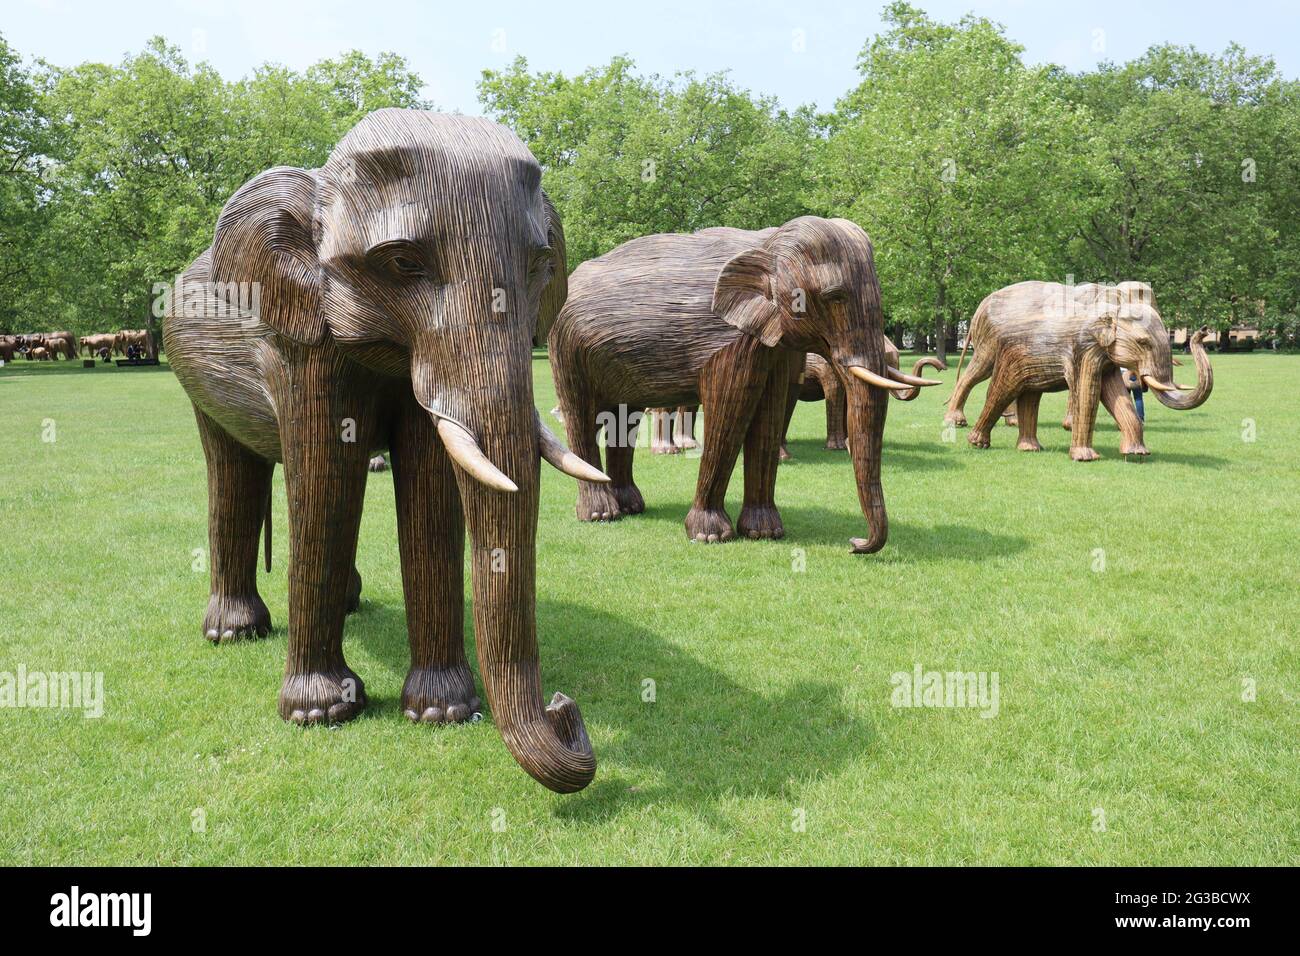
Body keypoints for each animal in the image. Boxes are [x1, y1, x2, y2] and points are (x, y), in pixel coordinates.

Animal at [163, 109, 602, 794]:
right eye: (401, 262)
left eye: (539, 265)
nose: (564, 709)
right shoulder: (301, 341)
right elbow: (325, 483)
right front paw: (320, 713)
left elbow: (430, 487)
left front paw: (445, 712)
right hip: (192, 370)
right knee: (232, 473)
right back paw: (234, 634)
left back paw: (347, 604)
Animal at [944, 281, 1212, 460]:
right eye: (1143, 342)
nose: (1203, 331)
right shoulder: (1084, 347)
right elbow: (1086, 391)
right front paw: (1085, 457)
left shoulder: (1105, 356)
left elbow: (1115, 395)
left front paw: (1138, 454)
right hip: (994, 345)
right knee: (987, 381)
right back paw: (970, 436)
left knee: (1029, 396)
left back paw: (1030, 447)